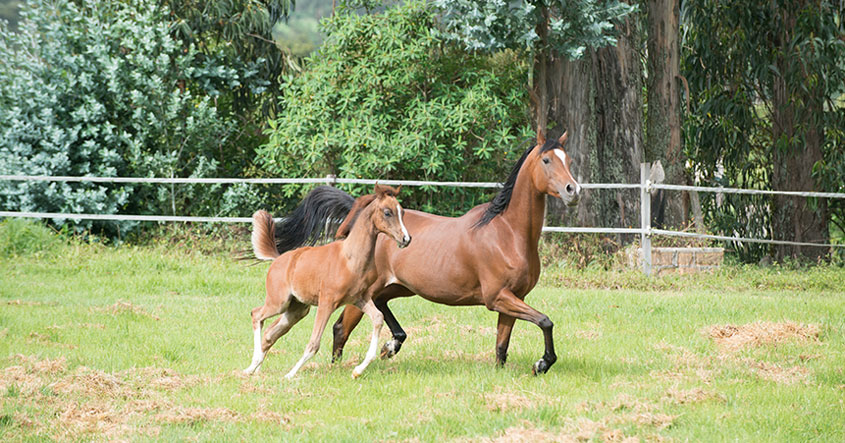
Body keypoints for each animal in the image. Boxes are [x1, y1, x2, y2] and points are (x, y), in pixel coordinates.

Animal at [241, 186, 412, 380]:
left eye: (402, 212)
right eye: (387, 212)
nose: (406, 239)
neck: (351, 258)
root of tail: (278, 258)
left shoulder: (360, 298)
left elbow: (378, 318)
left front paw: (358, 370)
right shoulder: (327, 302)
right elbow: (314, 343)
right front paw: (290, 375)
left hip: (296, 309)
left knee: (270, 333)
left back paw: (254, 368)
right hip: (278, 302)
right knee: (256, 315)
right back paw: (253, 365)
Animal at [268, 132, 576, 374]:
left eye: (569, 160)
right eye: (547, 160)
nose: (573, 190)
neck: (508, 233)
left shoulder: (514, 297)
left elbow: (502, 346)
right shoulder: (497, 297)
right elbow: (545, 321)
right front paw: (542, 363)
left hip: (394, 288)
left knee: (378, 311)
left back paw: (391, 345)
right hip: (363, 292)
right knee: (341, 328)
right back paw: (344, 366)